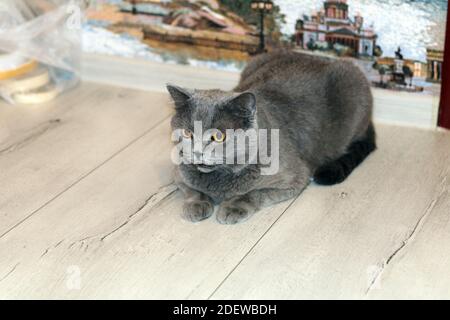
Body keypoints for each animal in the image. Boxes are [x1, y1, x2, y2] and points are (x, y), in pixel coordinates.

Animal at [167, 50, 374, 225]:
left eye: (219, 137)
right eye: (187, 133)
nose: (197, 152)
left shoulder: (295, 177)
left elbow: (254, 193)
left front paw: (233, 207)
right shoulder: (177, 170)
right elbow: (191, 189)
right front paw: (196, 205)